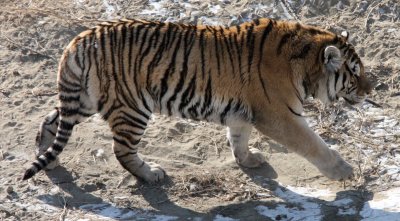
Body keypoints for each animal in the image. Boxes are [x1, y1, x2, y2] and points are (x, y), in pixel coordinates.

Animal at [22, 17, 372, 183]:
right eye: (355, 72)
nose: (371, 90)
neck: (304, 61)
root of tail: (79, 40)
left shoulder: (243, 112)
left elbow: (238, 139)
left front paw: (249, 160)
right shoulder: (280, 116)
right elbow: (314, 144)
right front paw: (343, 170)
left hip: (85, 99)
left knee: (51, 120)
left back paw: (50, 159)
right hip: (132, 107)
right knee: (121, 150)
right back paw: (151, 174)